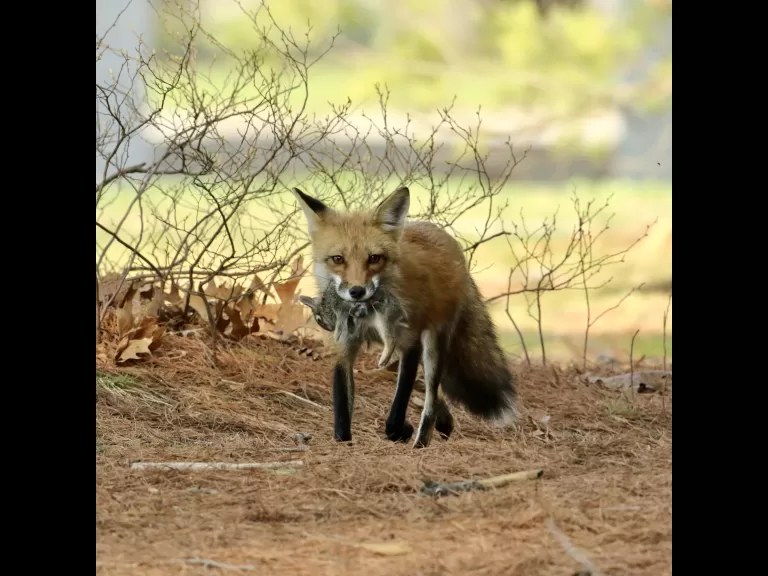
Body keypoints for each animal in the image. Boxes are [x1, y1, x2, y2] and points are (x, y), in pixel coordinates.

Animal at [293, 185, 518, 448]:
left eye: (374, 258)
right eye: (338, 259)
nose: (357, 291)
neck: (367, 318)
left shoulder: (410, 342)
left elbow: (399, 404)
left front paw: (399, 431)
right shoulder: (344, 347)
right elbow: (341, 407)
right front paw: (343, 441)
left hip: (433, 346)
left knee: (431, 396)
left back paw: (422, 440)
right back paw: (444, 421)